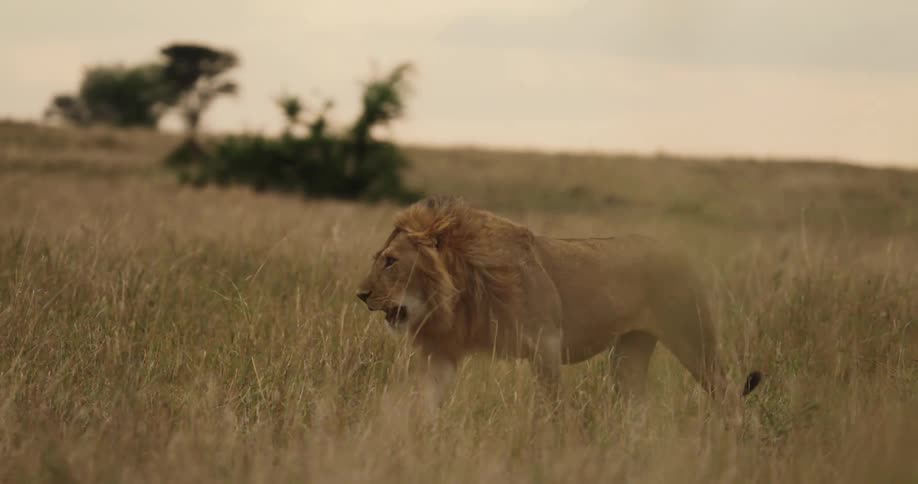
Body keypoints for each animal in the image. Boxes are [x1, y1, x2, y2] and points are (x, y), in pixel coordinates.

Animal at [356, 195, 762, 409]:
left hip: (693, 339)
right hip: (628, 354)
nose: (361, 295)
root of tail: (682, 253)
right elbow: (424, 401)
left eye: (390, 261)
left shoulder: (545, 343)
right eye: (378, 258)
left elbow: (552, 407)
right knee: (636, 405)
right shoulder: (441, 352)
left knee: (729, 395)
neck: (460, 288)